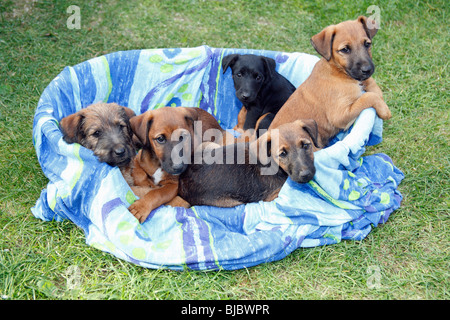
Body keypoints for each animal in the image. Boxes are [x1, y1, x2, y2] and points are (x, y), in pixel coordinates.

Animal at [178, 120, 318, 208]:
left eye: (306, 145)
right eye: (282, 154)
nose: (306, 174)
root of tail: (182, 179)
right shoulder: (273, 197)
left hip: (209, 146)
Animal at [268, 16, 392, 148]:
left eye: (367, 44)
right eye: (345, 49)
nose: (367, 69)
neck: (337, 71)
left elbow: (373, 87)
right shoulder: (340, 115)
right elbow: (368, 96)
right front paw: (385, 111)